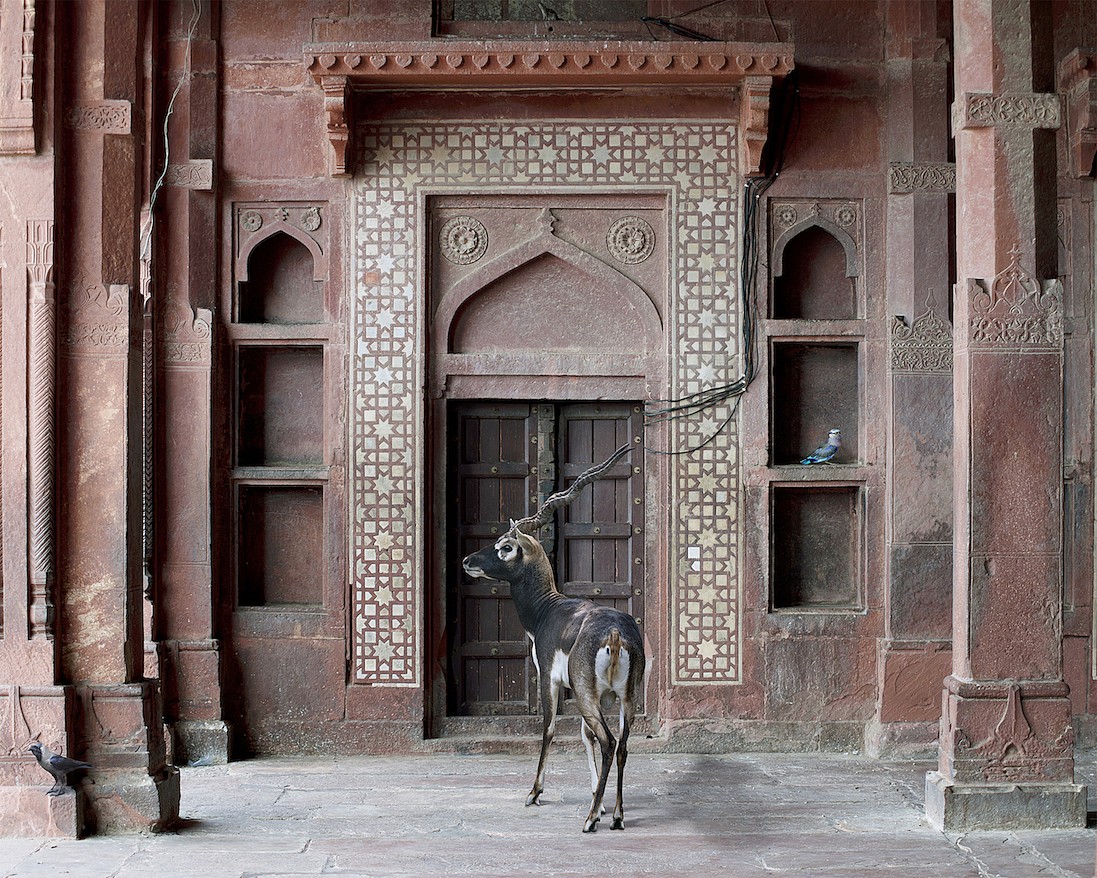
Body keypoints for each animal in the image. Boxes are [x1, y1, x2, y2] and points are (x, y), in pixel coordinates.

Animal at [460, 443, 645, 834]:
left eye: (505, 546)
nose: (468, 560)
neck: (548, 609)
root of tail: (615, 634)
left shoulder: (550, 677)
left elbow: (547, 728)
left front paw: (534, 792)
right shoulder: (594, 695)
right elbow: (583, 735)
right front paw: (598, 802)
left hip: (591, 694)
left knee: (608, 741)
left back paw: (588, 821)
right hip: (626, 697)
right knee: (620, 744)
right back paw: (616, 816)